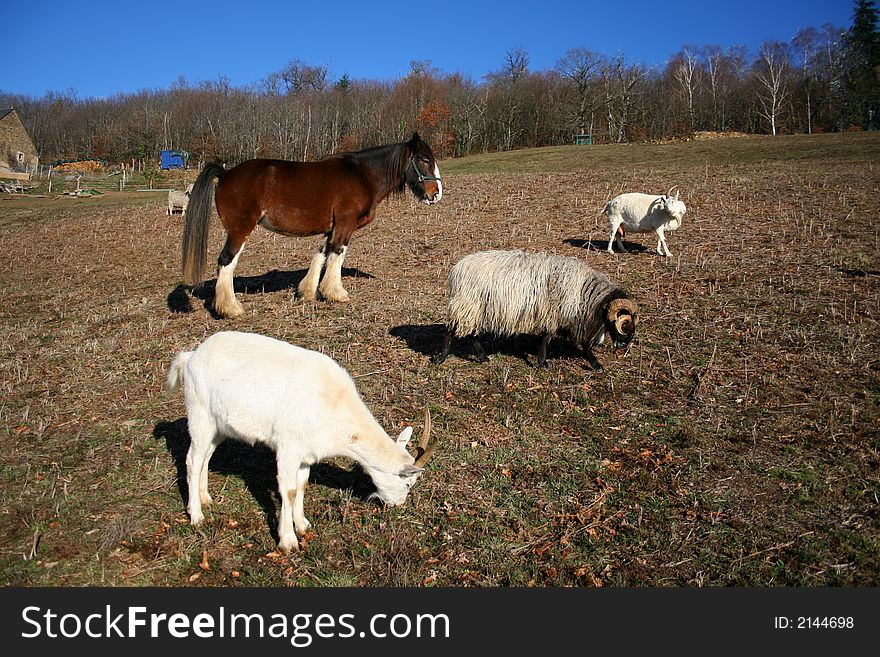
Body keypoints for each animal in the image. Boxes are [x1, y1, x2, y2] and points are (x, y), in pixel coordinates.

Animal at [165, 330, 434, 552]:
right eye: (408, 483)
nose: (397, 504)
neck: (333, 404)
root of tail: (191, 357)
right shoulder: (288, 447)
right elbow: (289, 490)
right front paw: (287, 541)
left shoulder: (307, 453)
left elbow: (302, 485)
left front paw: (303, 524)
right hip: (199, 413)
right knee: (192, 460)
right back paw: (196, 515)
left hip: (218, 425)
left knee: (206, 456)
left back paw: (205, 498)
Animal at [180, 132, 440, 316]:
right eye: (425, 159)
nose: (436, 194)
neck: (362, 175)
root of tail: (225, 174)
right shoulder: (344, 225)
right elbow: (337, 254)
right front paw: (336, 293)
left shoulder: (332, 228)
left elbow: (322, 253)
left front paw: (308, 291)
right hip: (239, 230)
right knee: (226, 261)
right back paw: (230, 308)